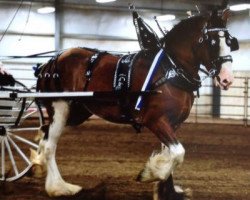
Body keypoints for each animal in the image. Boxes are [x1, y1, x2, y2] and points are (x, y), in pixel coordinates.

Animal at [32, 9, 237, 198]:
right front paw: (151, 173)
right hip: (60, 106)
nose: (227, 79)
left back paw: (38, 165)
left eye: (230, 42)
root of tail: (51, 61)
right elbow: (178, 153)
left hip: (77, 112)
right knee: (50, 145)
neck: (171, 69)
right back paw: (59, 187)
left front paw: (167, 191)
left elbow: (170, 154)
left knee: (45, 134)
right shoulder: (156, 121)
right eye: (212, 42)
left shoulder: (172, 124)